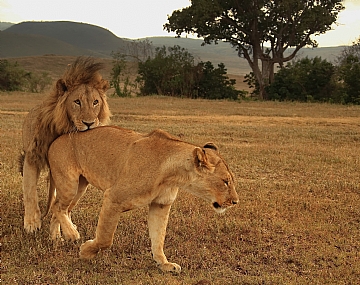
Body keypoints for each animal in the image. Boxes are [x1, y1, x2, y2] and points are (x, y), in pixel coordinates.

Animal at [19, 56, 109, 232]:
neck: (63, 128)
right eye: (77, 102)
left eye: (95, 102)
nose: (89, 123)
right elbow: (30, 190)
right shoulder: (33, 156)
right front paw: (32, 223)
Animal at [47, 125, 239, 272]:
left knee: (59, 208)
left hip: (81, 186)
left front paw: (164, 264)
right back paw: (72, 234)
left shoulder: (161, 205)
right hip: (70, 184)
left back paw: (57, 237)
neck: (172, 175)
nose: (235, 201)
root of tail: (55, 140)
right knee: (57, 206)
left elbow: (158, 238)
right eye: (226, 181)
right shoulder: (114, 197)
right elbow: (105, 238)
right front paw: (86, 251)